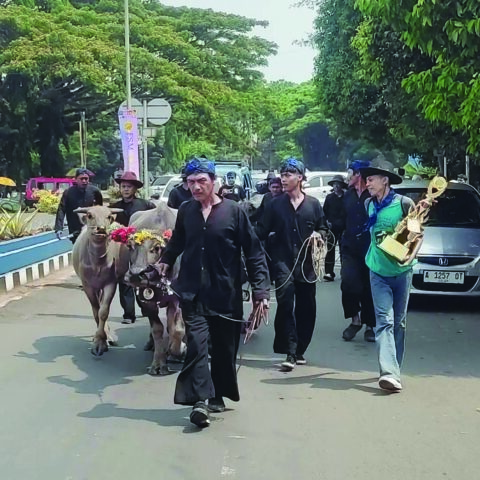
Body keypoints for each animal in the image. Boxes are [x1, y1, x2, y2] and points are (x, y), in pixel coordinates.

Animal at [71, 205, 127, 356]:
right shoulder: (87, 286)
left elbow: (103, 312)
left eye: (108, 216)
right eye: (90, 215)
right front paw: (98, 341)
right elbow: (96, 311)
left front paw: (102, 341)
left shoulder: (110, 283)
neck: (97, 262)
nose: (101, 229)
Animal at [122, 202, 186, 376]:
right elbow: (157, 329)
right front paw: (158, 364)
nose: (136, 274)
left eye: (157, 248)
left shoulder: (177, 298)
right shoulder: (145, 301)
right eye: (130, 246)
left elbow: (177, 329)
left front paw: (179, 350)